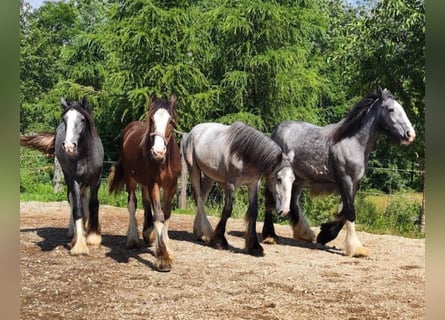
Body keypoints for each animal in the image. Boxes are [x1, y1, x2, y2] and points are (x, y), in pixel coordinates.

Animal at [108, 94, 181, 272]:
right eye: (151, 120)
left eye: (171, 121)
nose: (158, 151)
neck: (164, 161)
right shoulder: (153, 184)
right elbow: (159, 215)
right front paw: (163, 258)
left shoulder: (171, 186)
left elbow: (166, 214)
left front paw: (165, 246)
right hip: (131, 179)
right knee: (132, 204)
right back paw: (133, 239)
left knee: (146, 202)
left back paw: (148, 234)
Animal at [180, 121, 294, 256]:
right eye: (279, 179)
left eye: (293, 179)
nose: (285, 211)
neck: (244, 153)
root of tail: (192, 132)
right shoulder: (231, 185)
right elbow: (227, 210)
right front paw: (219, 242)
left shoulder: (253, 184)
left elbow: (253, 212)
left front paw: (254, 247)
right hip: (194, 169)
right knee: (198, 197)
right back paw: (207, 232)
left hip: (209, 176)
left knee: (202, 198)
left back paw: (200, 233)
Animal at [262, 88, 414, 258]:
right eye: (391, 109)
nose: (410, 134)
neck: (352, 142)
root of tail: (276, 130)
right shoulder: (345, 180)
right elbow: (350, 212)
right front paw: (356, 249)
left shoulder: (354, 183)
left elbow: (345, 211)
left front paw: (325, 235)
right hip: (276, 176)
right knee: (269, 200)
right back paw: (270, 236)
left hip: (298, 179)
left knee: (293, 202)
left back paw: (305, 234)